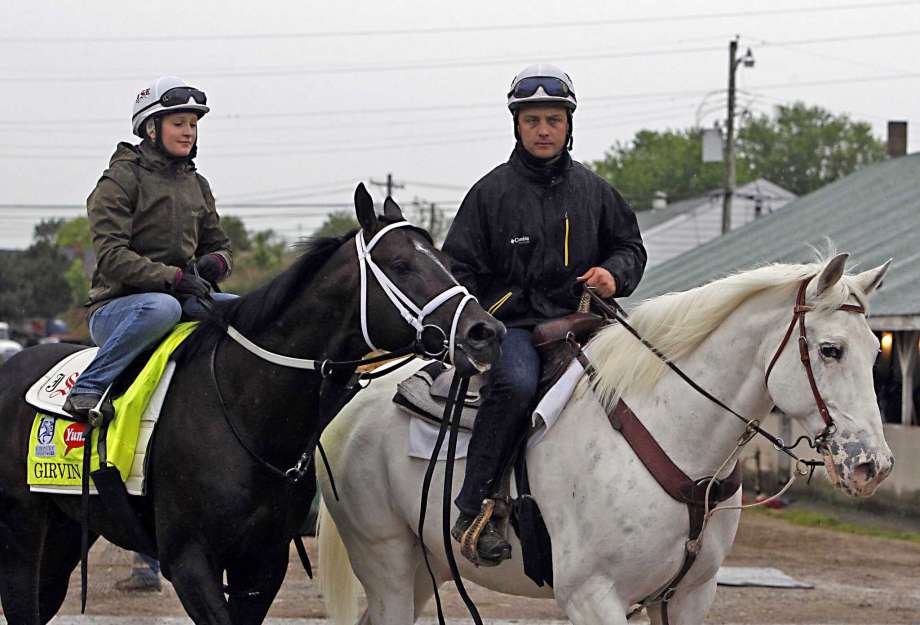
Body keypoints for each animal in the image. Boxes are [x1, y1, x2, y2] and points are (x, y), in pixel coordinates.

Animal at [0, 185, 504, 624]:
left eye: (446, 262)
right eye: (401, 264)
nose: (485, 332)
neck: (244, 407)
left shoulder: (262, 564)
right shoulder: (189, 561)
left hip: (65, 534)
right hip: (22, 532)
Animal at [314, 254, 892, 624]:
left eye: (876, 350)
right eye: (831, 349)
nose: (873, 465)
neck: (672, 434)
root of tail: (349, 410)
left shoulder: (687, 598)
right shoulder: (592, 596)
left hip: (424, 563)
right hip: (386, 560)